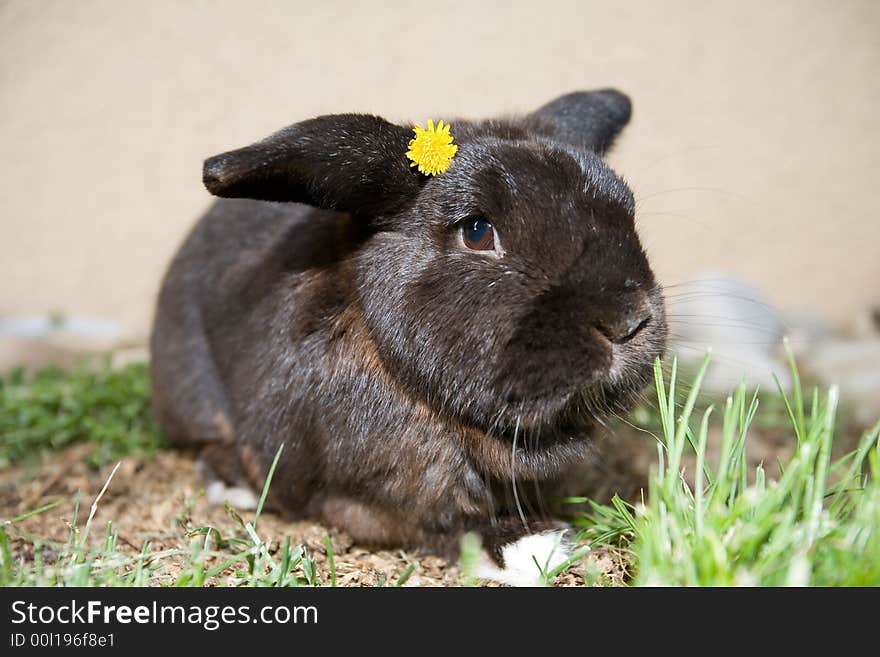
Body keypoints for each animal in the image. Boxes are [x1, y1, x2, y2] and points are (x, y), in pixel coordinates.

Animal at [150, 88, 668, 584]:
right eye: (477, 231)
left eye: (627, 210)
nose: (627, 321)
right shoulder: (369, 499)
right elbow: (446, 528)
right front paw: (537, 548)